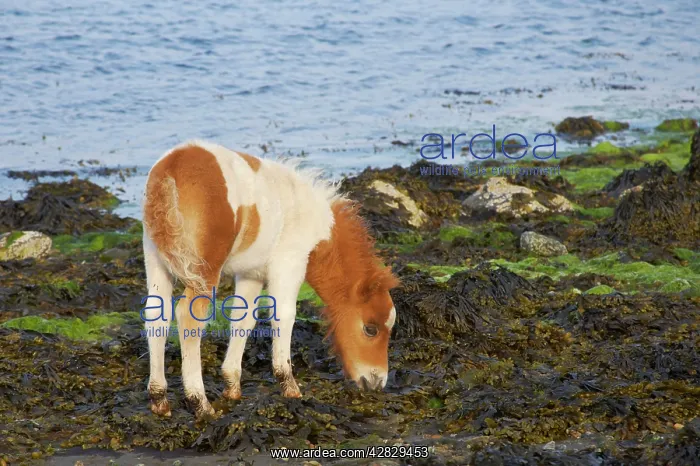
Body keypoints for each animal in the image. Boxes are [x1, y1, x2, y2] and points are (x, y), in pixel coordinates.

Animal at [141, 140, 400, 419]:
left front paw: (232, 386)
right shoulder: (289, 266)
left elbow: (243, 319)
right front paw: (289, 386)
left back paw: (159, 398)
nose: (376, 381)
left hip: (155, 259)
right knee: (189, 317)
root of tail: (172, 167)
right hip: (204, 270)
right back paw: (200, 402)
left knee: (157, 314)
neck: (314, 225)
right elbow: (284, 315)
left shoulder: (251, 274)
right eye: (370, 329)